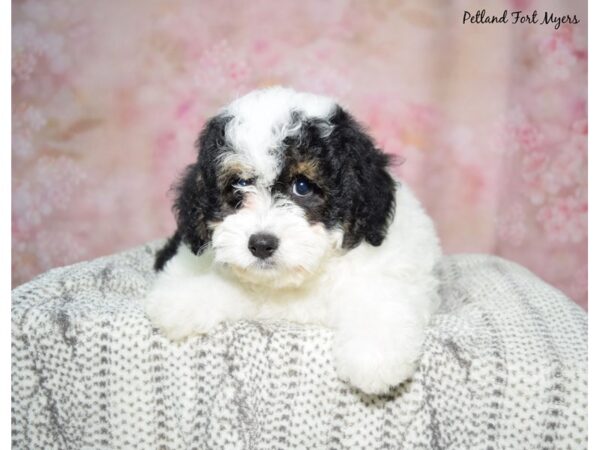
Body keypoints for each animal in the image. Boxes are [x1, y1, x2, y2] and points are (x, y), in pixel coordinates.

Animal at [144, 85, 440, 394]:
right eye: (238, 185)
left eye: (302, 186)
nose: (261, 245)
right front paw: (181, 300)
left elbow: (380, 297)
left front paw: (373, 357)